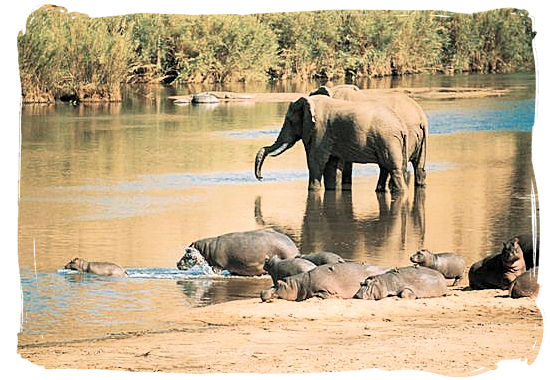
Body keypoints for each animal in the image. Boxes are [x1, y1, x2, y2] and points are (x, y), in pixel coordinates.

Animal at [256, 96, 410, 194]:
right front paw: (329, 189)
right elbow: (331, 165)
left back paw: (400, 193)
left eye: (290, 121)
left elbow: (315, 161)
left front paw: (313, 190)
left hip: (388, 139)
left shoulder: (320, 130)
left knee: (393, 168)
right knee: (384, 167)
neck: (309, 102)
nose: (261, 178)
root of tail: (402, 126)